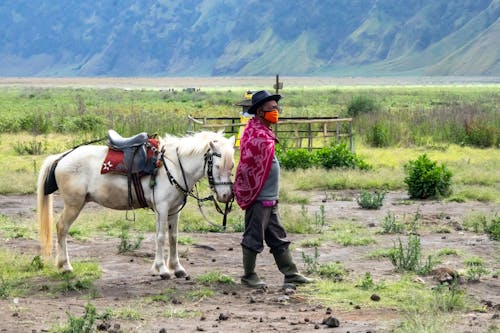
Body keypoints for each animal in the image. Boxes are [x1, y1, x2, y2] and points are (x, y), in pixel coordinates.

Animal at [37, 130, 236, 278]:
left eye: (232, 165)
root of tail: (62, 157)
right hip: (73, 204)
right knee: (61, 228)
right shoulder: (162, 208)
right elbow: (161, 237)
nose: (226, 195)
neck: (173, 166)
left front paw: (176, 268)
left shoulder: (173, 210)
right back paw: (65, 266)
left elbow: (173, 237)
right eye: (217, 166)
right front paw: (162, 269)